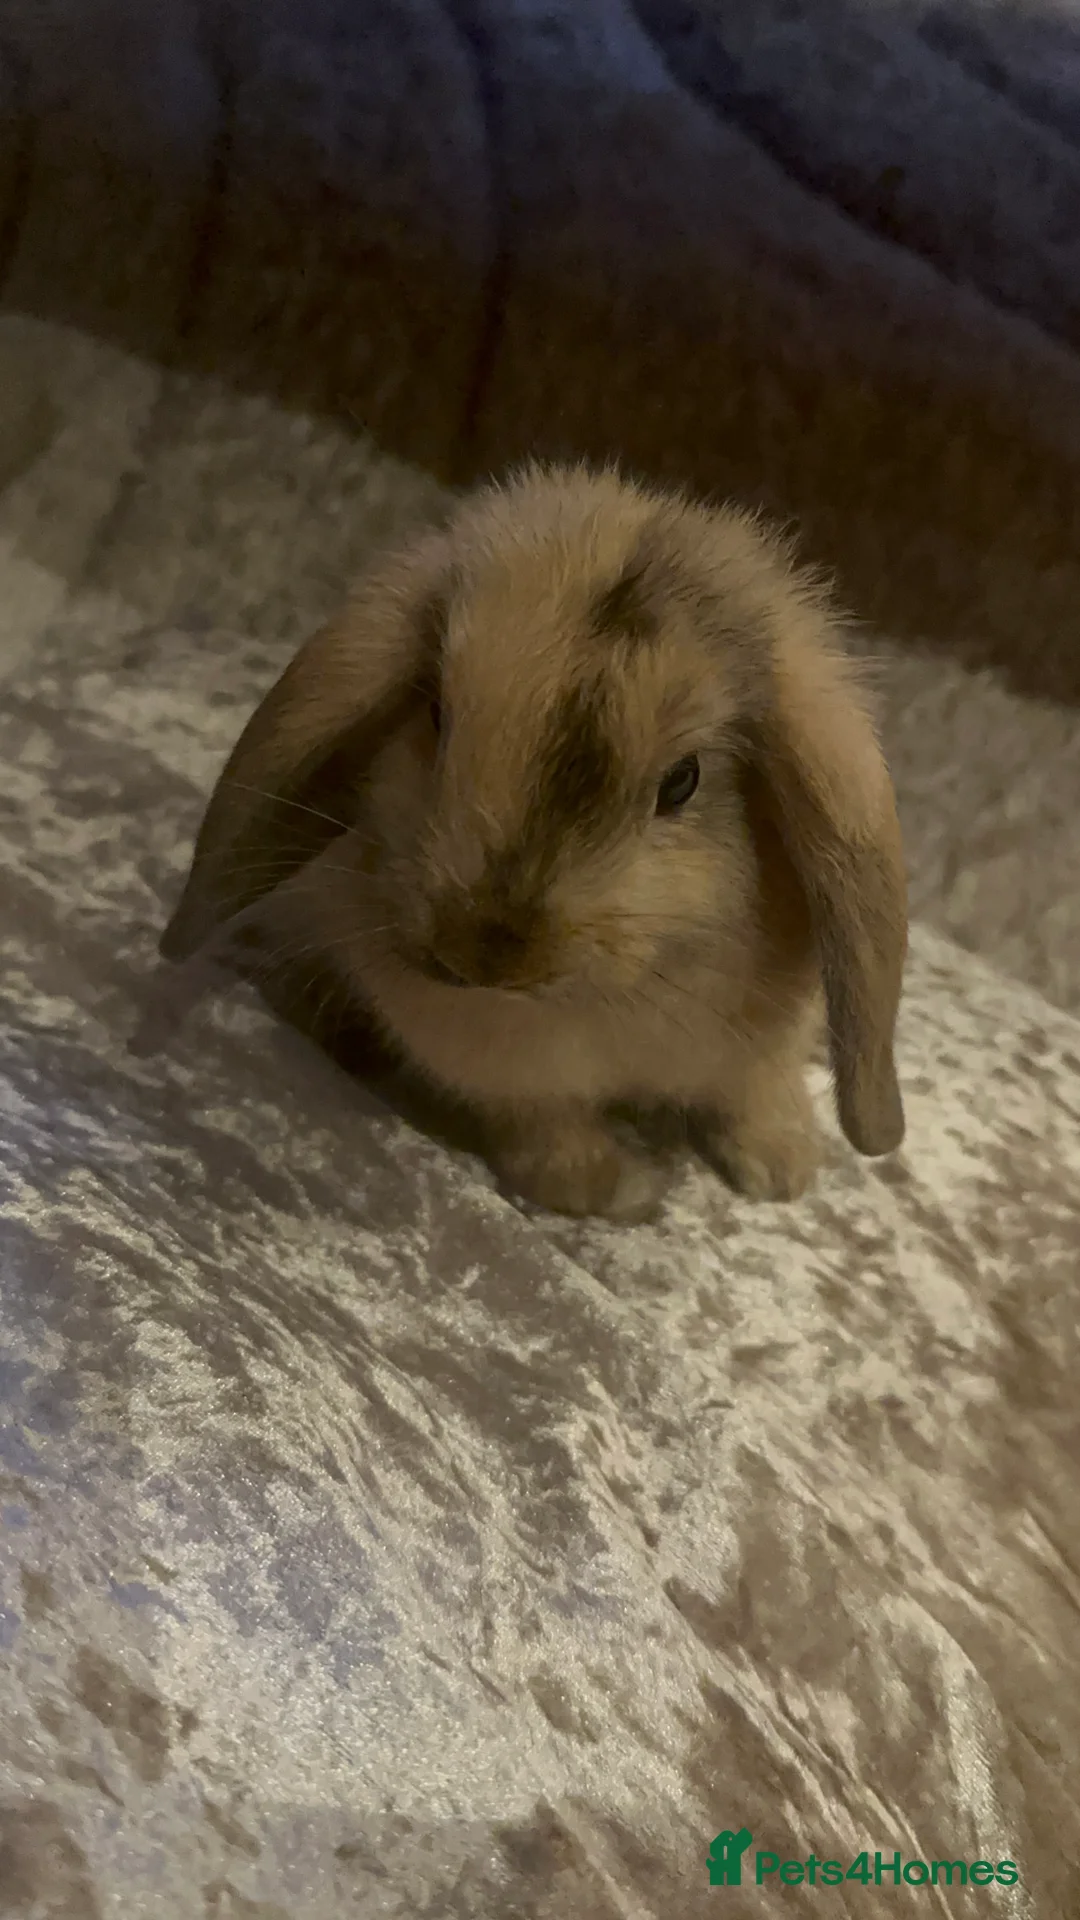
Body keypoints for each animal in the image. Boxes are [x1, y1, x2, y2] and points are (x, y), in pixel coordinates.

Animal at [159, 462, 907, 1222]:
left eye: (683, 781)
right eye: (436, 714)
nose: (486, 948)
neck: (615, 1002)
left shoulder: (764, 1045)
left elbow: (754, 1089)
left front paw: (783, 1168)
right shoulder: (503, 1074)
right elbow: (547, 1133)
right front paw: (620, 1189)